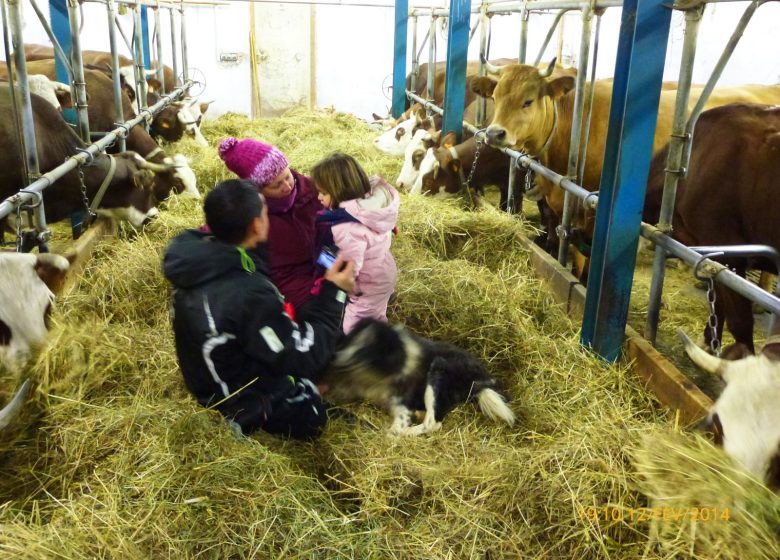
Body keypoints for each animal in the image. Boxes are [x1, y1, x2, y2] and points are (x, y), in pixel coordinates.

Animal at [320, 320, 516, 434]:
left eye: (369, 349)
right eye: (354, 338)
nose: (336, 356)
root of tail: (482, 382)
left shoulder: (403, 405)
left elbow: (396, 429)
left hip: (438, 372)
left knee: (433, 423)